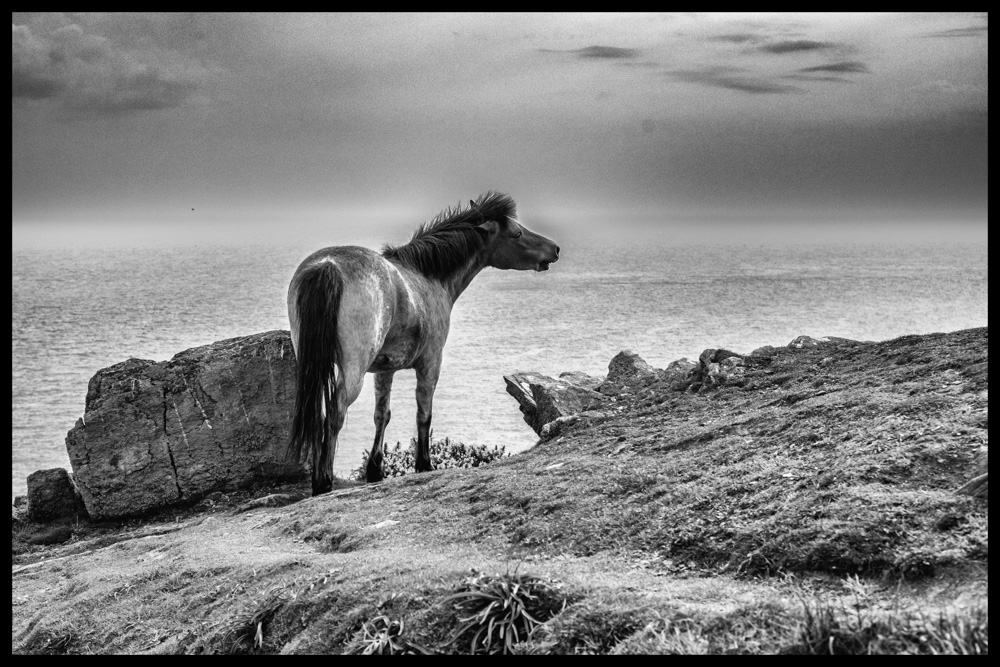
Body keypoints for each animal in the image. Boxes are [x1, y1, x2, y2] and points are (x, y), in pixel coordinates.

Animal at [287, 192, 560, 495]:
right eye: (517, 233)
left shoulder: (385, 369)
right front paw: (424, 465)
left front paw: (375, 470)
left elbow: (382, 414)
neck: (427, 277)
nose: (555, 249)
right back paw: (323, 482)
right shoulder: (430, 362)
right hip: (353, 370)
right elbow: (424, 413)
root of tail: (328, 266)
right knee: (334, 415)